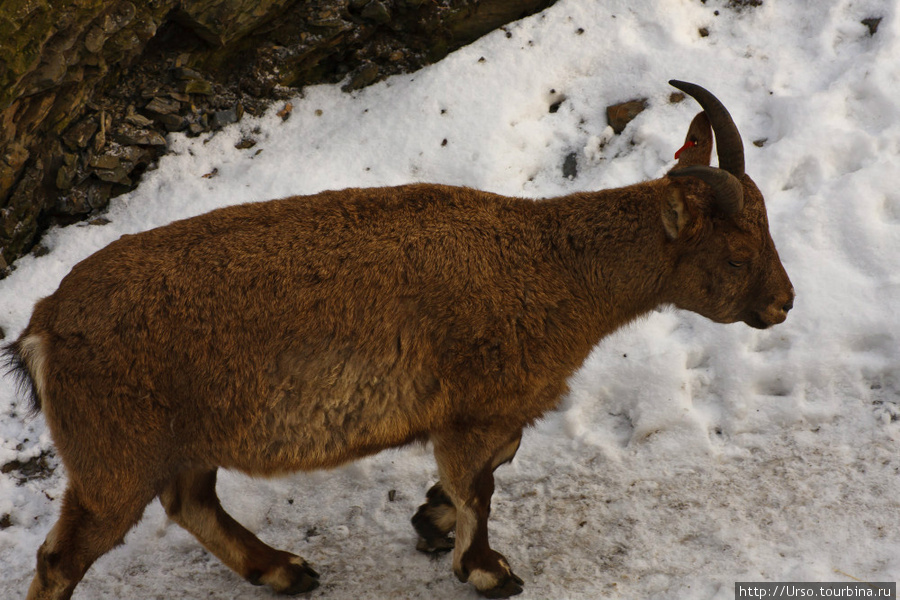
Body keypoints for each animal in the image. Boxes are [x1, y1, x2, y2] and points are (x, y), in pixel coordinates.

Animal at [7, 81, 796, 600]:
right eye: (735, 256)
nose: (783, 304)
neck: (553, 270)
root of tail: (43, 328)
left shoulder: (483, 411)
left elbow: (491, 466)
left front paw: (429, 519)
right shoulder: (477, 407)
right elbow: (481, 483)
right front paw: (487, 569)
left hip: (177, 443)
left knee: (189, 502)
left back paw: (284, 569)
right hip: (114, 460)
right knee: (62, 558)